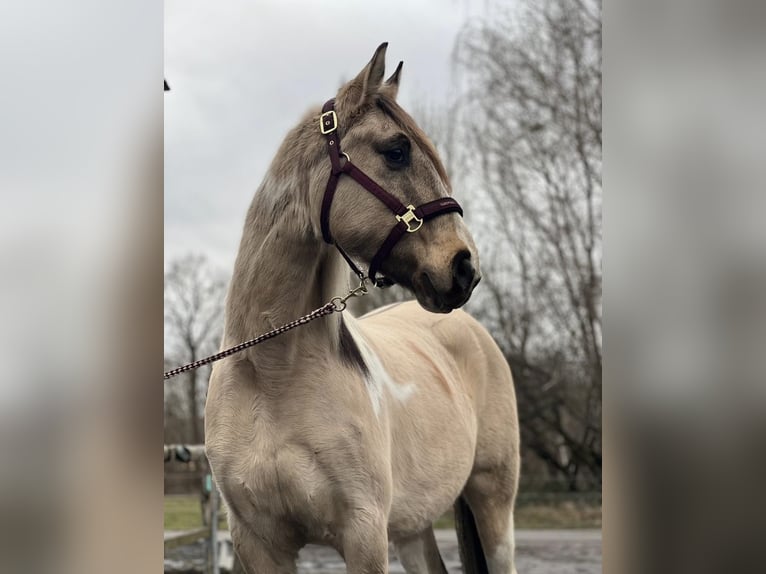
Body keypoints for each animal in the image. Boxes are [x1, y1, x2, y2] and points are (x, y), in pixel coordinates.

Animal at [206, 42, 520, 572]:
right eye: (396, 151)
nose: (464, 269)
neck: (273, 375)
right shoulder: (258, 542)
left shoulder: (364, 535)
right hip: (414, 523)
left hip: (493, 500)